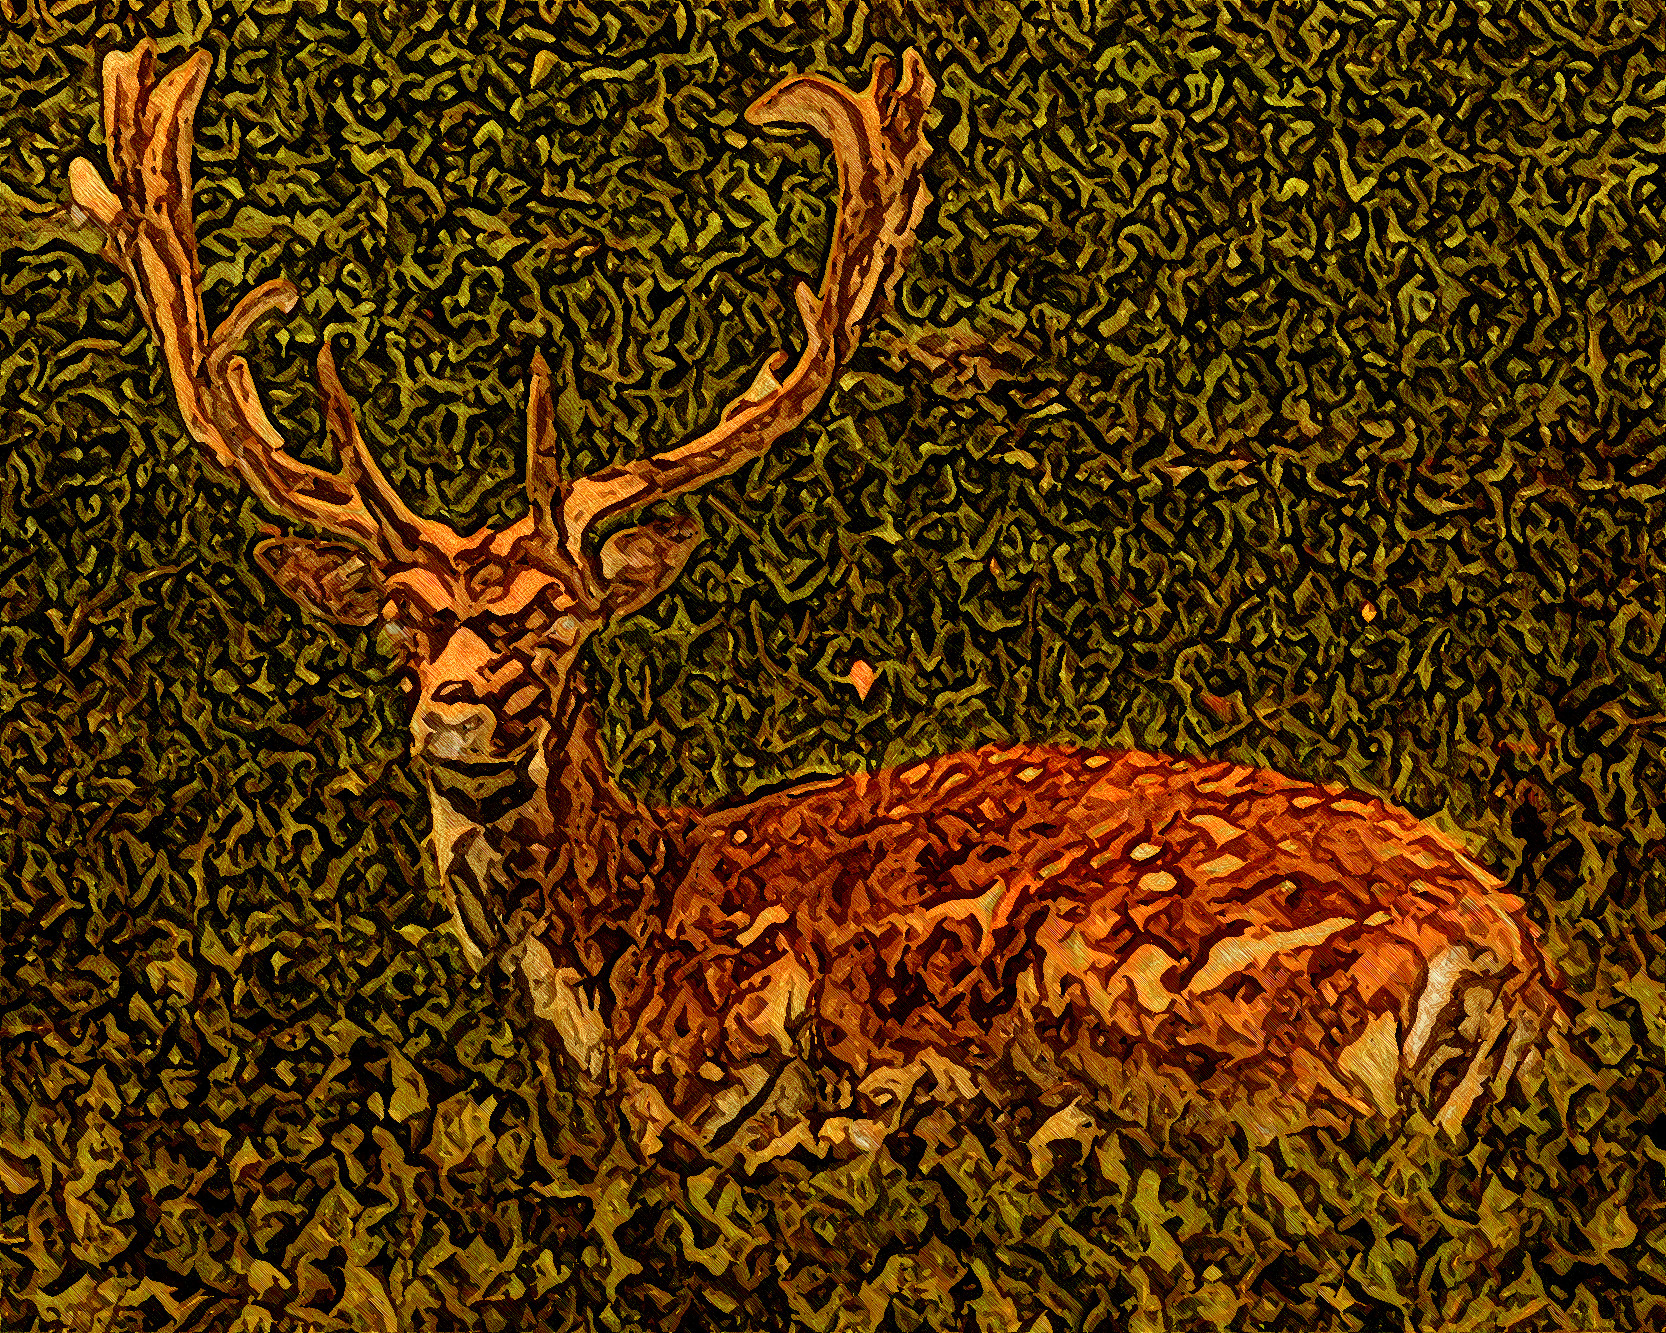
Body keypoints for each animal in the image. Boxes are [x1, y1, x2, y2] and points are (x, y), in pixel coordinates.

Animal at [71, 41, 1564, 1167]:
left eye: (558, 616)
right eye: (398, 617)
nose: (456, 709)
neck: (611, 951)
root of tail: (1509, 963)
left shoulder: (716, 1044)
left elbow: (693, 1140)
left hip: (1129, 979)